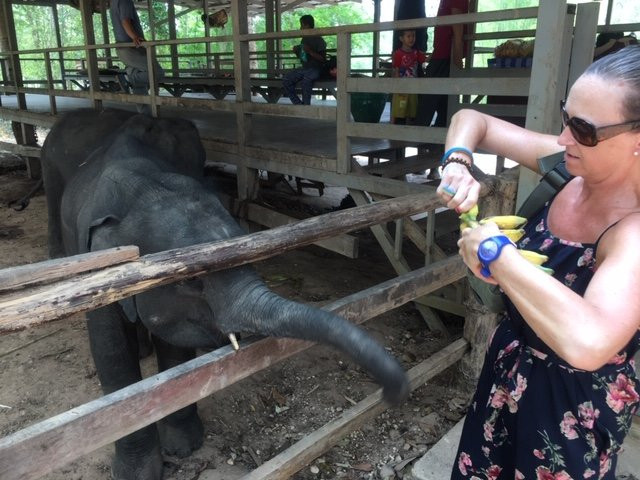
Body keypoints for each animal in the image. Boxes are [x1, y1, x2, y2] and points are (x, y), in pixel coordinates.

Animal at [41, 109, 410, 480]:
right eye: (191, 280)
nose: (395, 391)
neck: (144, 187)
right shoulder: (95, 273)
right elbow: (111, 350)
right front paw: (136, 473)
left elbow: (174, 347)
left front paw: (184, 447)